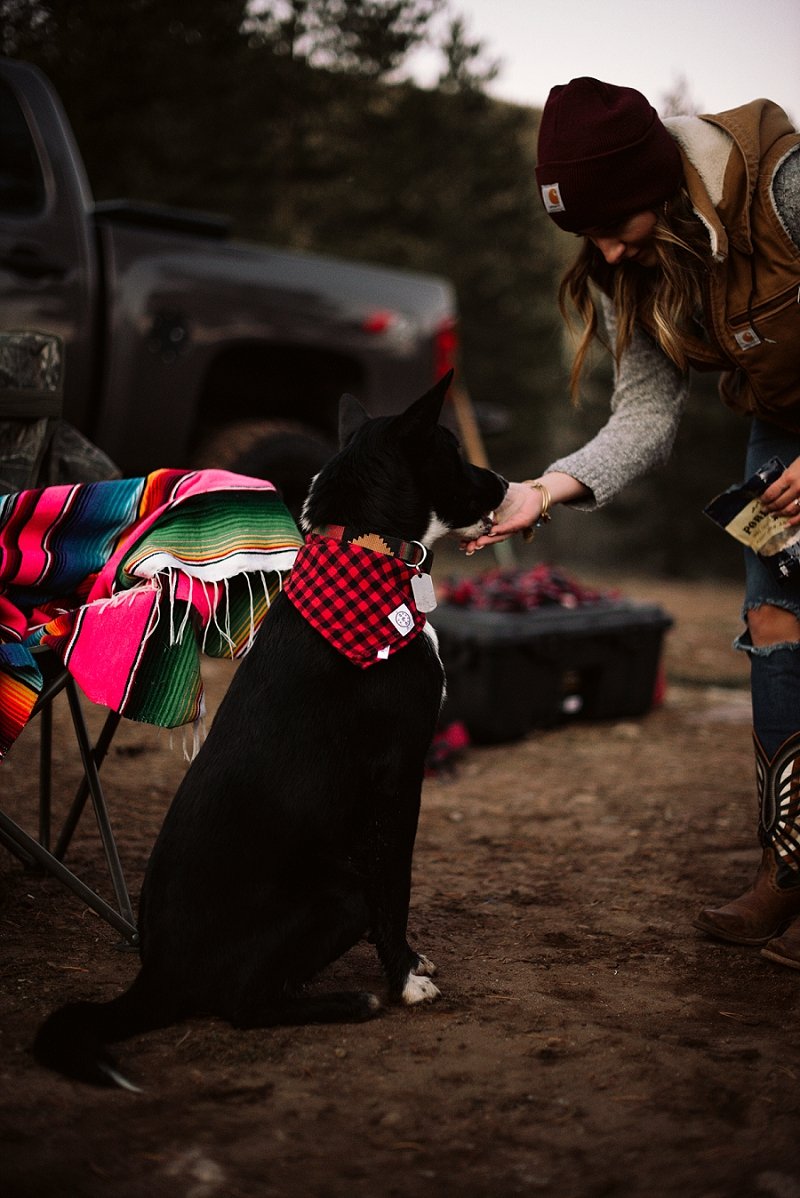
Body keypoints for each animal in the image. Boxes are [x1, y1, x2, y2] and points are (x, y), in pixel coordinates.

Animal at [32, 371, 505, 1087]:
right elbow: (394, 885)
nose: (505, 483)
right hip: (339, 893)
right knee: (242, 1006)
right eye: (451, 452)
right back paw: (352, 1002)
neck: (363, 551)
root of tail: (156, 973)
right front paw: (404, 980)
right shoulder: (398, 776)